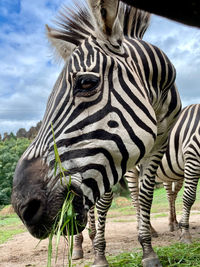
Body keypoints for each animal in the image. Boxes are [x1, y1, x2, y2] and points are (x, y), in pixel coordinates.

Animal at [11, 2, 183, 267]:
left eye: (86, 83)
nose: (23, 208)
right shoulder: (115, 154)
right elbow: (104, 203)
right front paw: (100, 255)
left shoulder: (155, 145)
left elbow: (144, 196)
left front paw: (148, 251)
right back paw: (83, 245)